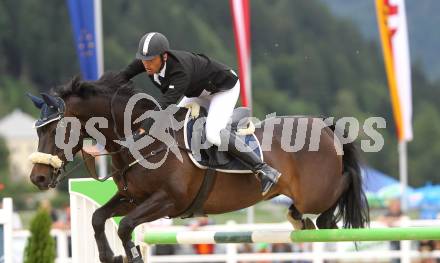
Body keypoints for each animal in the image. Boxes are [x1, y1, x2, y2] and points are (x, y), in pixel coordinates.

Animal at [29, 72, 370, 263]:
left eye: (56, 129)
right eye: (37, 130)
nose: (38, 178)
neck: (141, 137)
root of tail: (324, 127)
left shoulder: (168, 200)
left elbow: (125, 226)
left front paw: (132, 255)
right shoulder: (133, 197)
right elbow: (99, 217)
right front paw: (108, 256)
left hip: (317, 192)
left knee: (344, 184)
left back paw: (320, 217)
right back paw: (299, 219)